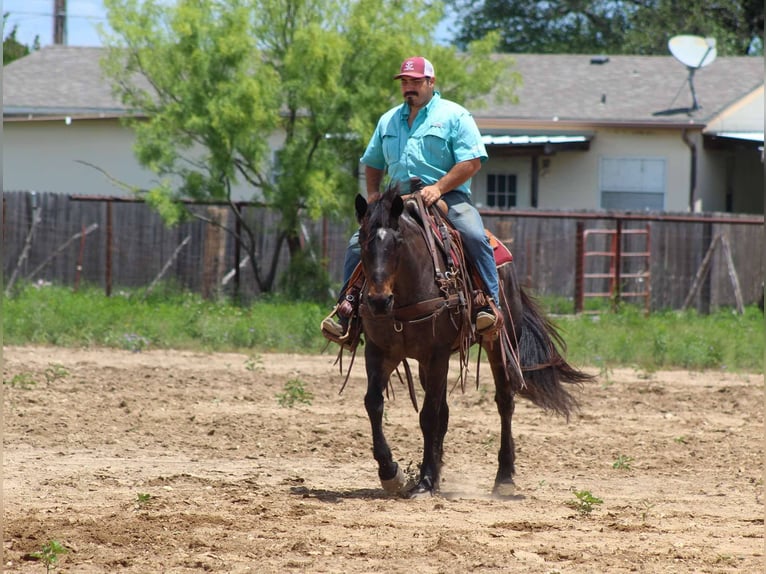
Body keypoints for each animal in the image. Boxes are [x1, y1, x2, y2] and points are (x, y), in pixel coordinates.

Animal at [353, 185, 593, 498]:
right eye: (362, 241)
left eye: (398, 242)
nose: (379, 301)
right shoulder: (380, 351)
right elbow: (374, 404)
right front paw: (391, 472)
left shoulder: (437, 354)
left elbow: (428, 416)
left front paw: (425, 482)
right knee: (443, 411)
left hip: (500, 343)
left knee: (504, 402)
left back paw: (504, 477)